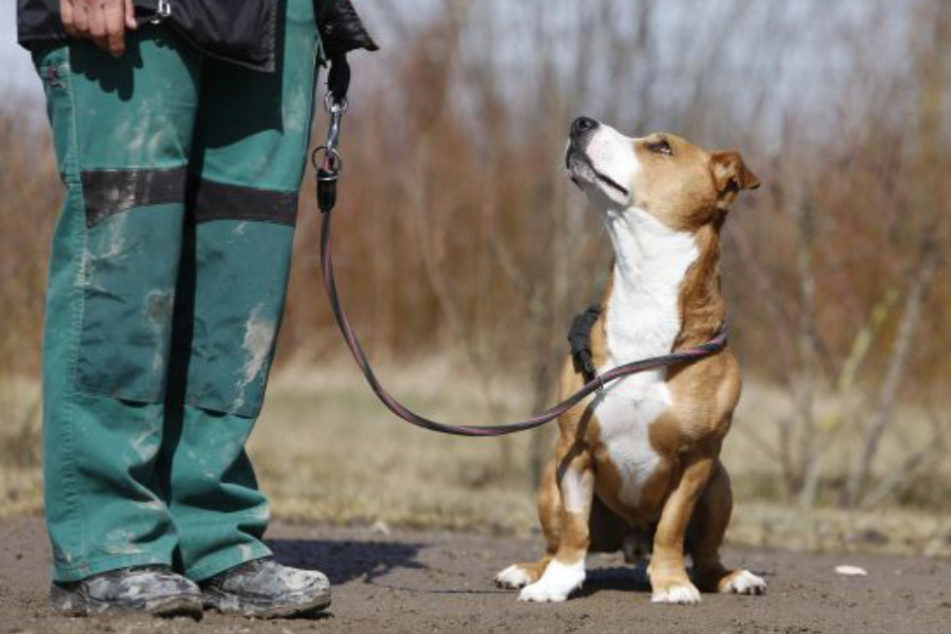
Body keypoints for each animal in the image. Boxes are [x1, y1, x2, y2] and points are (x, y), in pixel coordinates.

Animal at [494, 117, 764, 604]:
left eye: (662, 147)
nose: (580, 121)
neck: (645, 294)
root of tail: (631, 540)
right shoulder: (574, 450)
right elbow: (574, 528)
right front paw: (558, 582)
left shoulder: (698, 460)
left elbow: (673, 527)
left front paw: (672, 583)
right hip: (547, 479)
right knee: (554, 541)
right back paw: (529, 571)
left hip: (720, 485)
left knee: (707, 557)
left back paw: (733, 577)